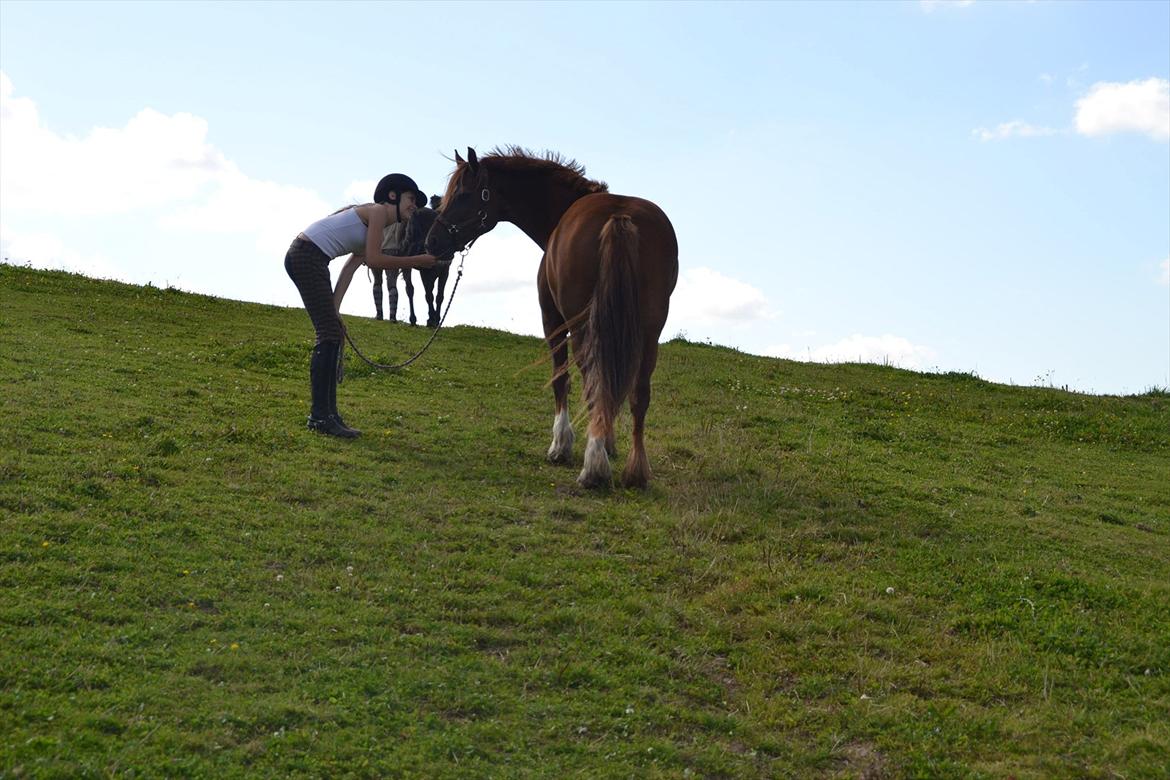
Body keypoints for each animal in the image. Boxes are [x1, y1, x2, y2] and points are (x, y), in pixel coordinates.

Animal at [425, 147, 683, 488]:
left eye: (463, 195)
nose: (432, 241)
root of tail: (619, 217)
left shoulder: (553, 321)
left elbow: (562, 379)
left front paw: (562, 445)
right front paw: (608, 441)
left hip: (583, 325)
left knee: (593, 381)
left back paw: (593, 468)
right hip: (650, 331)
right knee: (638, 393)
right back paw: (636, 471)